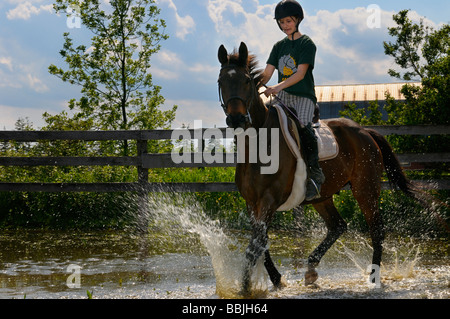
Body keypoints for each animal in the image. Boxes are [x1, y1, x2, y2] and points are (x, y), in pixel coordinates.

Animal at [217, 42, 426, 298]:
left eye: (247, 81)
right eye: (221, 81)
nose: (236, 118)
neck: (259, 143)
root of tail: (365, 131)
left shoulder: (269, 199)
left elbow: (256, 243)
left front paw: (245, 286)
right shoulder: (252, 202)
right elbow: (262, 241)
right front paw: (276, 279)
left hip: (365, 189)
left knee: (376, 229)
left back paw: (374, 277)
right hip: (322, 196)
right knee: (338, 226)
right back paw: (310, 270)